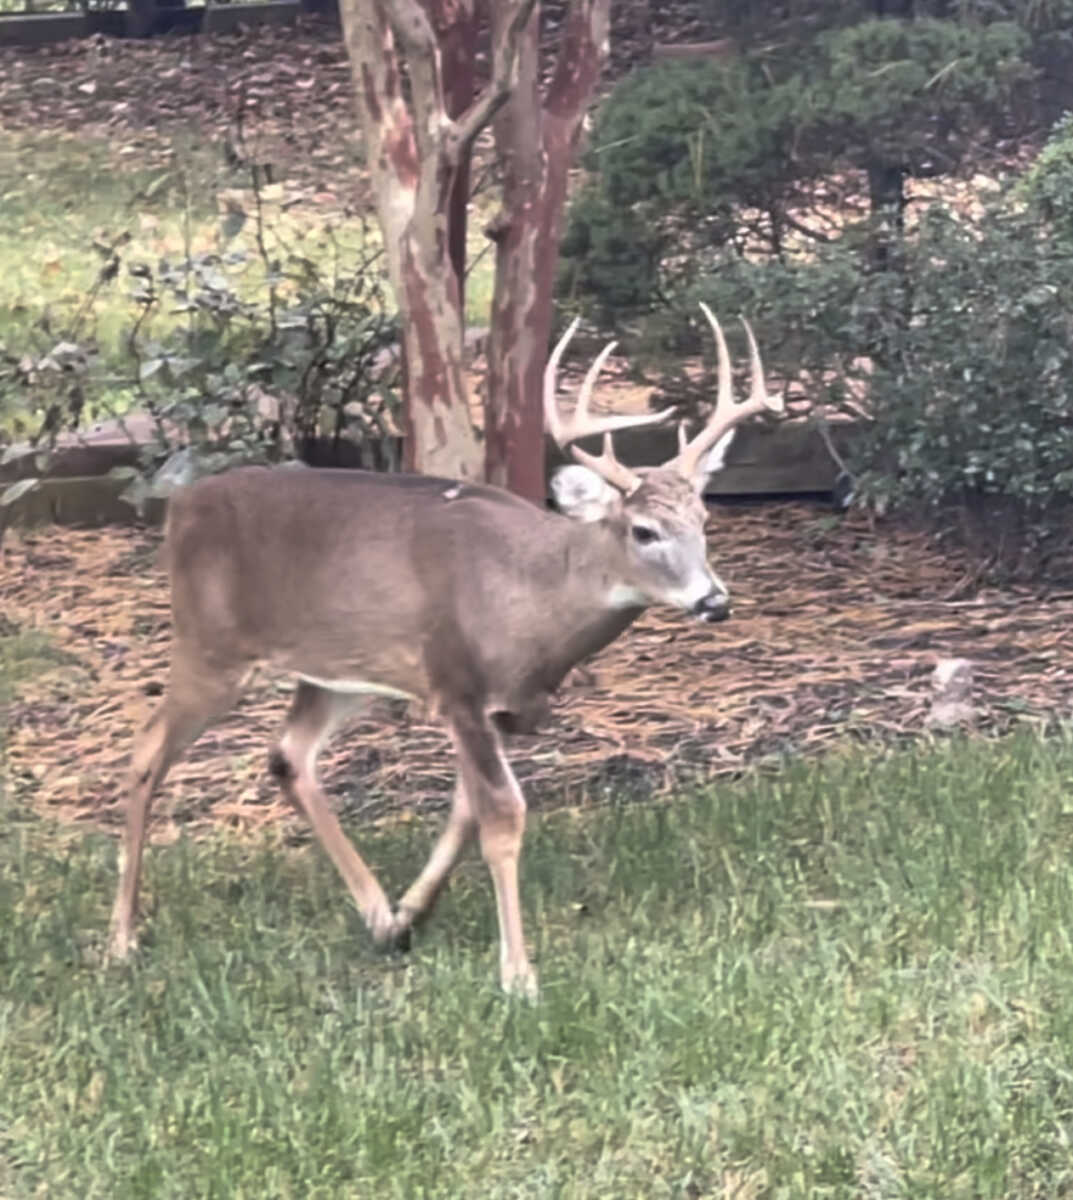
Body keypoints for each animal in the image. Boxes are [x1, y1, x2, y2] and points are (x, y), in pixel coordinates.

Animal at [106, 304, 783, 998]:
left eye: (704, 522)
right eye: (644, 531)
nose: (714, 601)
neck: (533, 603)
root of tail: (180, 508)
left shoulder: (502, 708)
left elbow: (464, 811)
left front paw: (411, 914)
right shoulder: (456, 682)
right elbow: (503, 816)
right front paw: (518, 975)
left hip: (335, 673)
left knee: (288, 755)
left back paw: (379, 916)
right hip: (209, 646)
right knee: (146, 751)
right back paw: (121, 938)